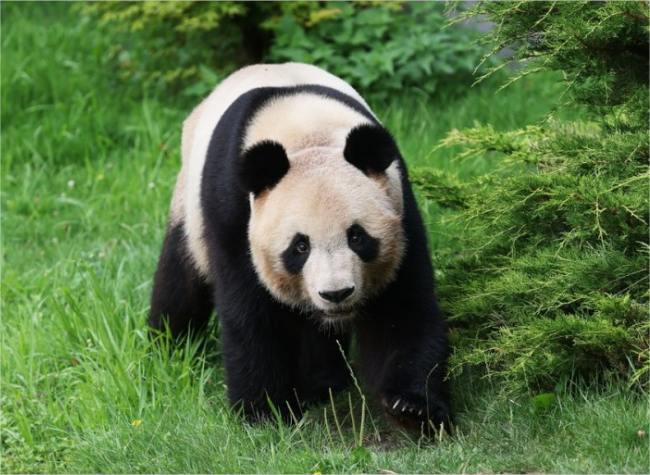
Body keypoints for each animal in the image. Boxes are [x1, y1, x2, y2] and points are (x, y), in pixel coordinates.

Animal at [149, 62, 451, 431]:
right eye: (299, 247)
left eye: (357, 237)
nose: (336, 294)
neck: (306, 133)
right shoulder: (232, 213)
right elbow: (252, 315)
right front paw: (263, 413)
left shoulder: (399, 205)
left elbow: (401, 309)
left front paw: (411, 407)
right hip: (189, 207)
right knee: (180, 280)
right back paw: (167, 347)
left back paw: (323, 383)